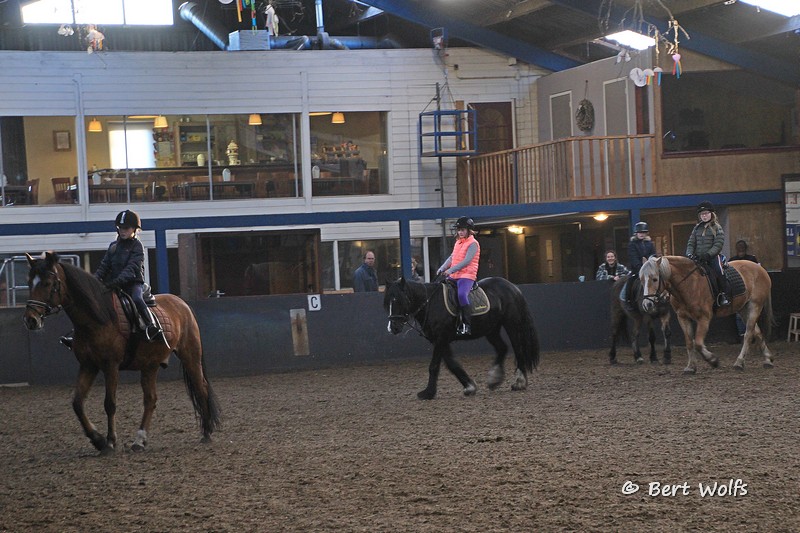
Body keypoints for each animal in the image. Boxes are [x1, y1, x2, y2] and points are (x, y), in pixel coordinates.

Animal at [23, 252, 220, 454]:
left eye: (47, 283)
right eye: (29, 282)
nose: (31, 320)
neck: (98, 318)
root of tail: (182, 303)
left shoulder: (111, 365)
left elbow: (109, 404)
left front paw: (109, 441)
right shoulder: (88, 365)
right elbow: (77, 402)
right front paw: (97, 439)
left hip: (190, 356)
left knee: (201, 388)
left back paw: (206, 433)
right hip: (150, 365)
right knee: (150, 400)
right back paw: (139, 440)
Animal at [384, 277, 540, 400]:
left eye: (399, 300)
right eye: (387, 303)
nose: (393, 328)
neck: (430, 303)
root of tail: (513, 287)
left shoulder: (441, 338)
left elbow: (434, 366)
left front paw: (428, 393)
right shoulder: (439, 340)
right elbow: (451, 364)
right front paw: (469, 386)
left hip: (511, 324)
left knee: (518, 349)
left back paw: (519, 382)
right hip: (491, 329)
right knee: (502, 348)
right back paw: (494, 379)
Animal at [639, 255, 773, 374]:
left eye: (655, 279)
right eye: (641, 280)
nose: (647, 304)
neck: (689, 284)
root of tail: (759, 268)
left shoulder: (704, 318)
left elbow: (698, 343)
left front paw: (713, 360)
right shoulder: (683, 317)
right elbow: (689, 342)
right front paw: (691, 367)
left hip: (755, 305)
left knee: (748, 334)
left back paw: (739, 363)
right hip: (743, 309)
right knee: (757, 332)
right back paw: (768, 359)